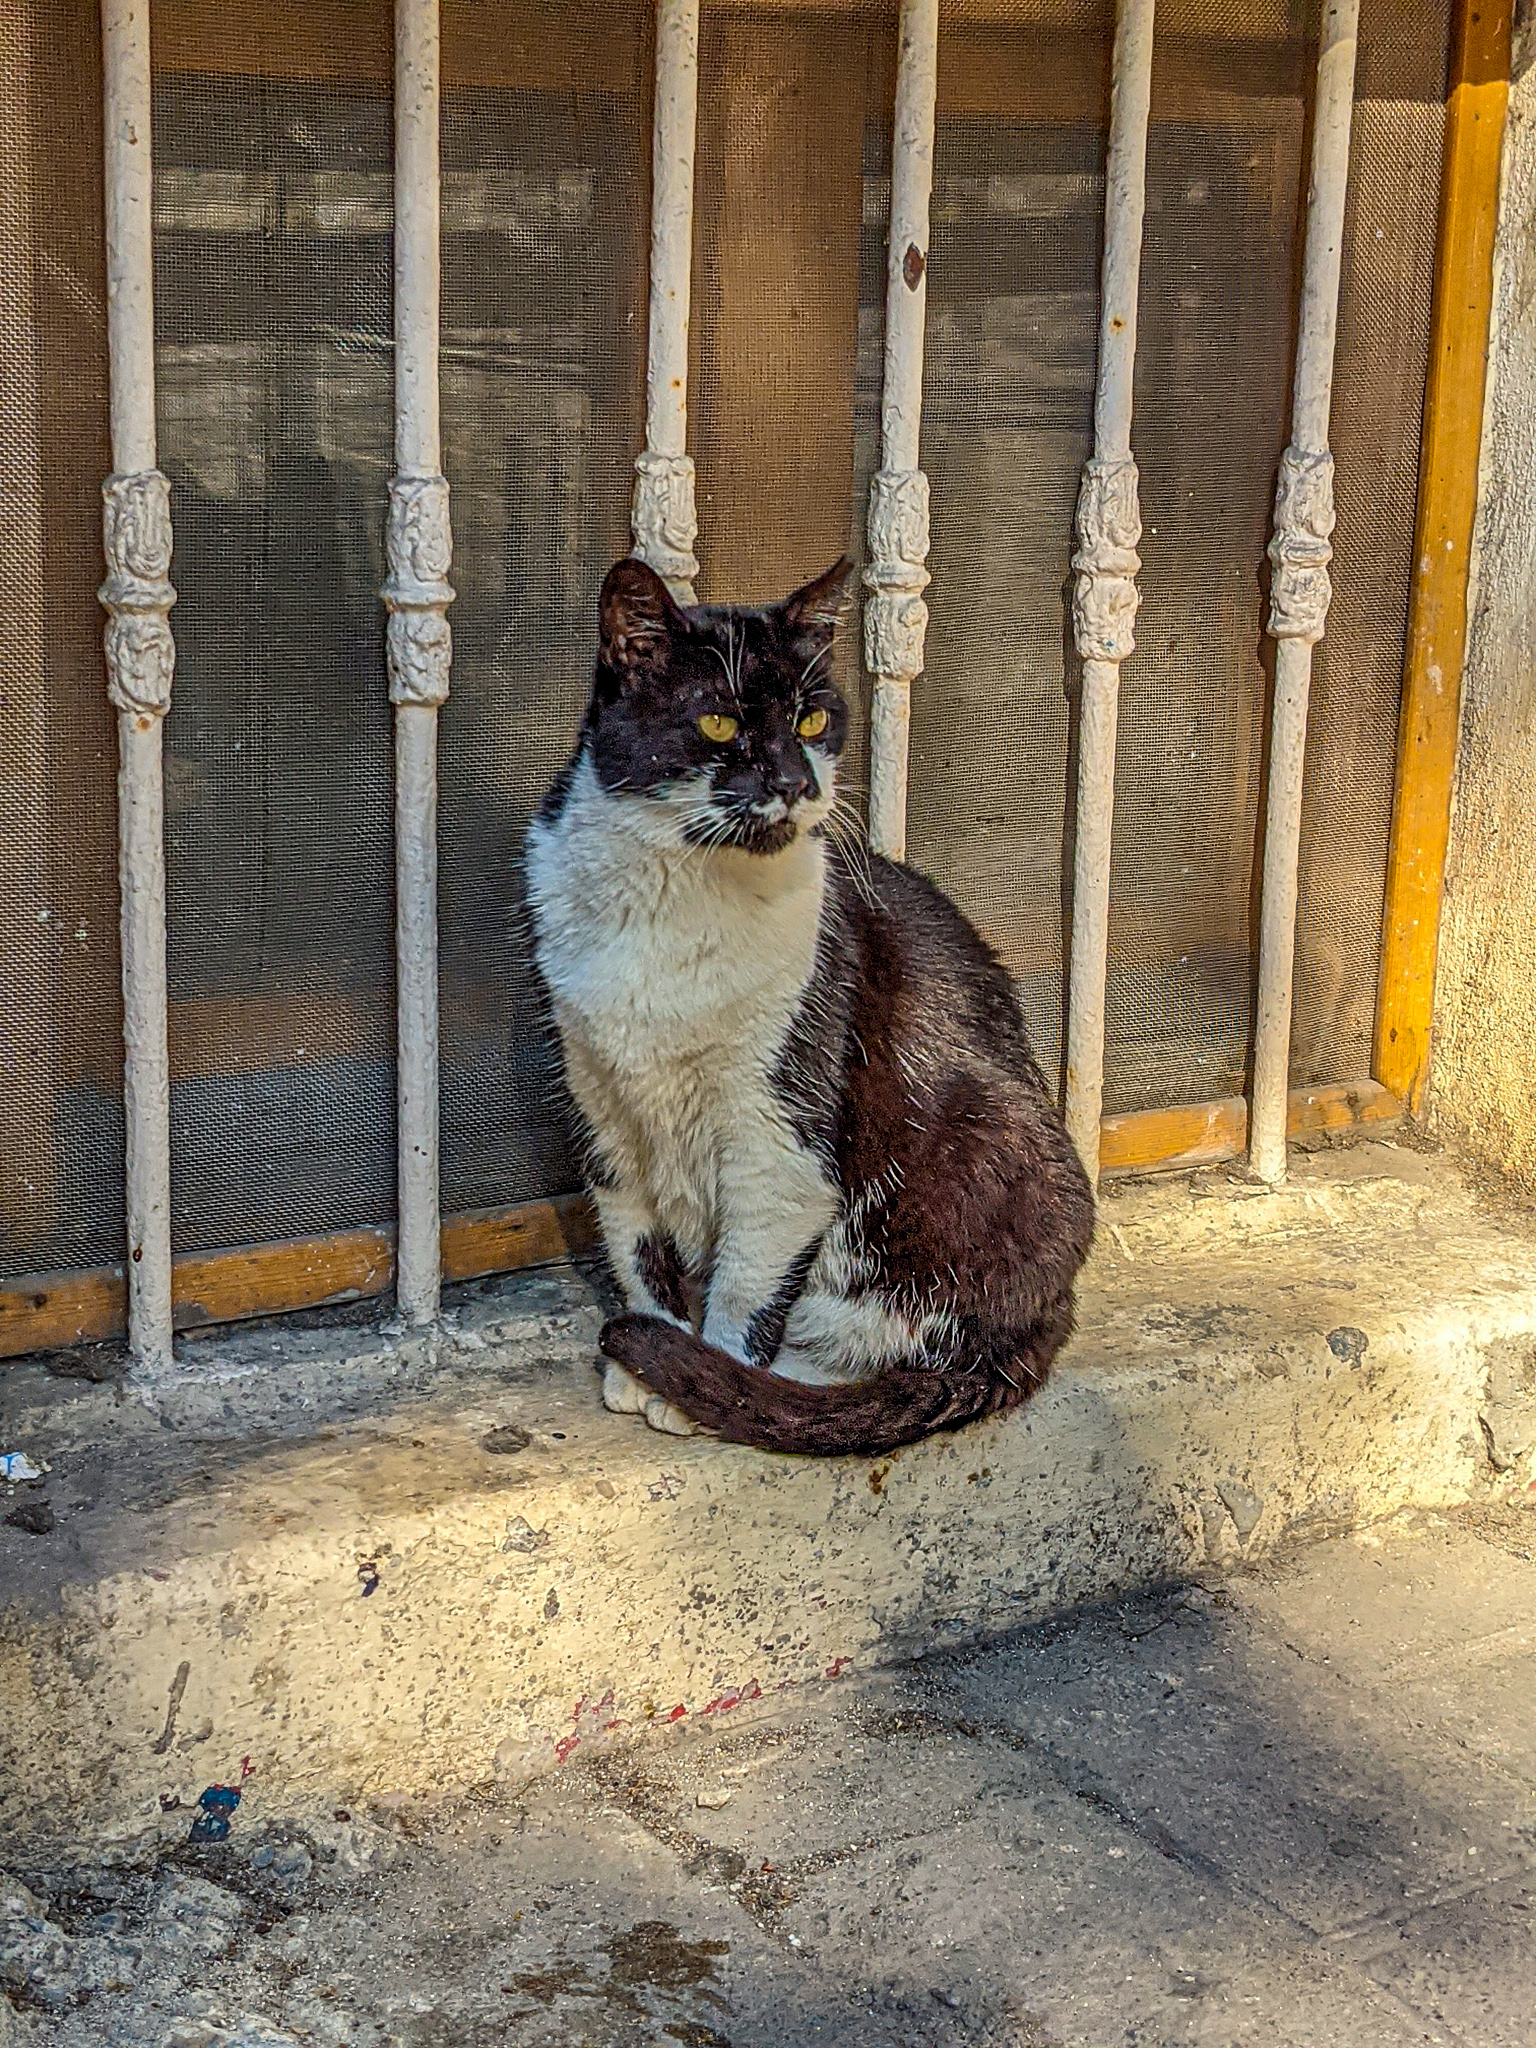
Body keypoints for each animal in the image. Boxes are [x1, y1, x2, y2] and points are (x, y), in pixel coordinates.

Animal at [528, 552, 1097, 1466]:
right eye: (718, 723)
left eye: (814, 717)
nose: (796, 784)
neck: (673, 902)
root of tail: (1048, 1322)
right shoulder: (601, 1109)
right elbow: (635, 1247)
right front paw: (648, 1358)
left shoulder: (782, 1128)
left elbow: (749, 1279)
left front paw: (699, 1382)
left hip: (985, 1145)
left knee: (896, 1340)